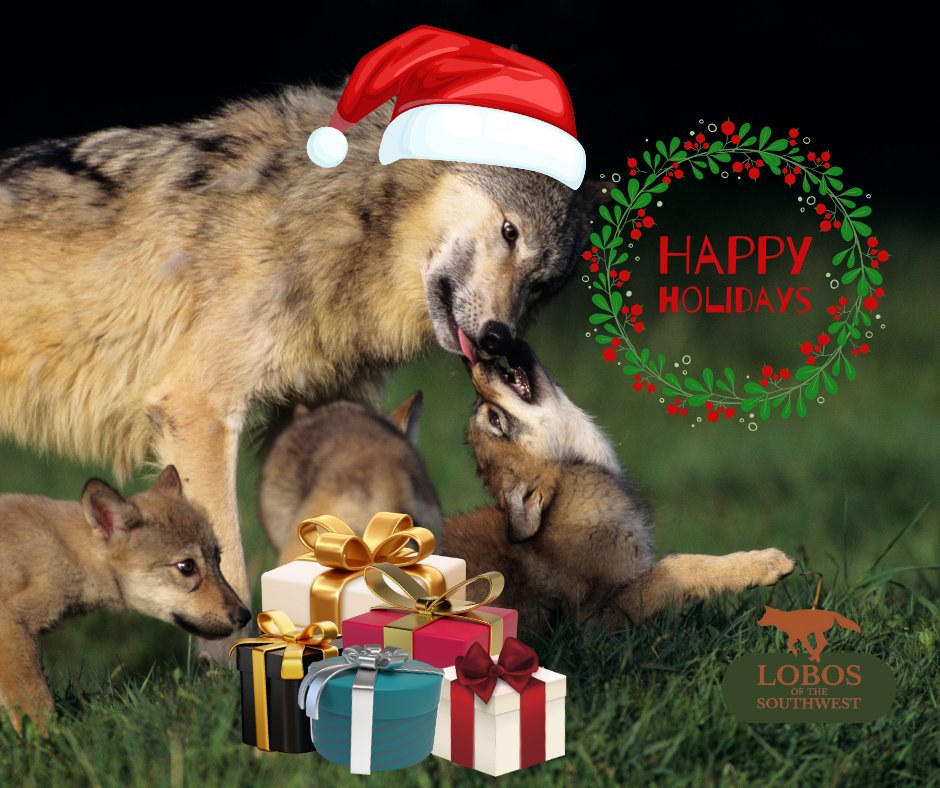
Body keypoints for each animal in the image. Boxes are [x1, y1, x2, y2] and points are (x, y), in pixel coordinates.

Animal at [0, 465, 249, 732]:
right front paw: (50, 742)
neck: (65, 551)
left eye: (218, 560)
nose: (244, 615)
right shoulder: (12, 626)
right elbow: (38, 706)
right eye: (187, 566)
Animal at [441, 343, 795, 626]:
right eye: (495, 420)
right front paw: (763, 564)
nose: (469, 361)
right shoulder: (591, 623)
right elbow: (676, 567)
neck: (571, 475)